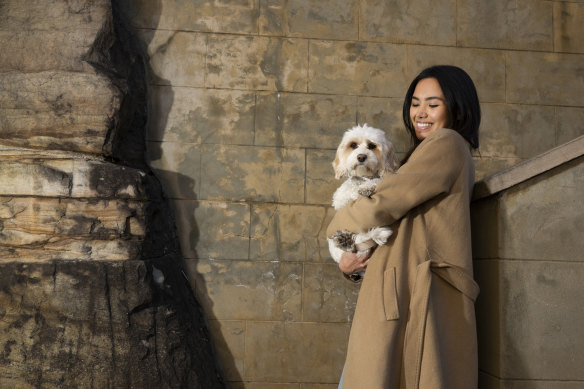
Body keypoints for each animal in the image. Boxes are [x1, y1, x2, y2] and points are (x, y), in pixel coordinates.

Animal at [326, 123, 400, 274]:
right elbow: (347, 196)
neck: (363, 177)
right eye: (353, 145)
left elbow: (378, 180)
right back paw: (343, 239)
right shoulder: (339, 199)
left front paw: (367, 187)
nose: (361, 156)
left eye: (371, 146)